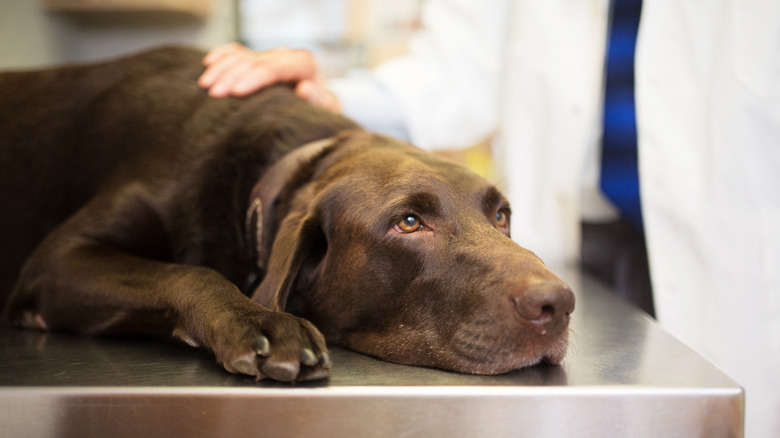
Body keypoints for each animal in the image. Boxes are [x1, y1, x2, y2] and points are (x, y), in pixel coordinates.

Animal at [0, 48, 572, 382]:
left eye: (502, 216)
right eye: (408, 222)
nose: (559, 304)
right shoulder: (55, 263)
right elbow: (191, 273)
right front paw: (262, 322)